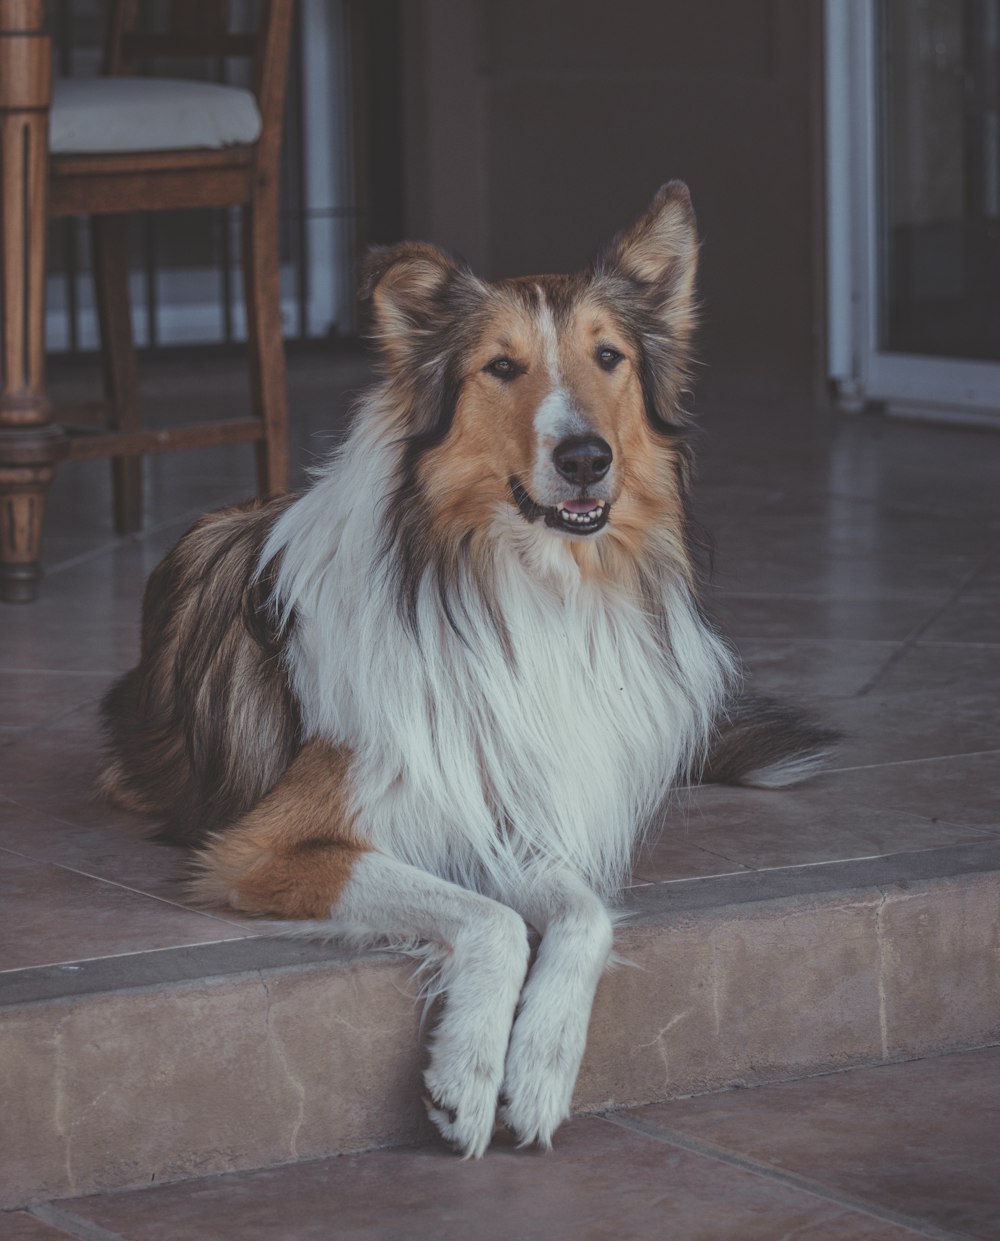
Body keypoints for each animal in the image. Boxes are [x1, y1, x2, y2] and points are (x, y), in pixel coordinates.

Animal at [101, 181, 838, 1151]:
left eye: (608, 356)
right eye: (501, 367)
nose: (585, 458)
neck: (515, 584)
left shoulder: (506, 806)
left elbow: (583, 914)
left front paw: (541, 1062)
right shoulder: (265, 846)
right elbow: (490, 920)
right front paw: (466, 1073)